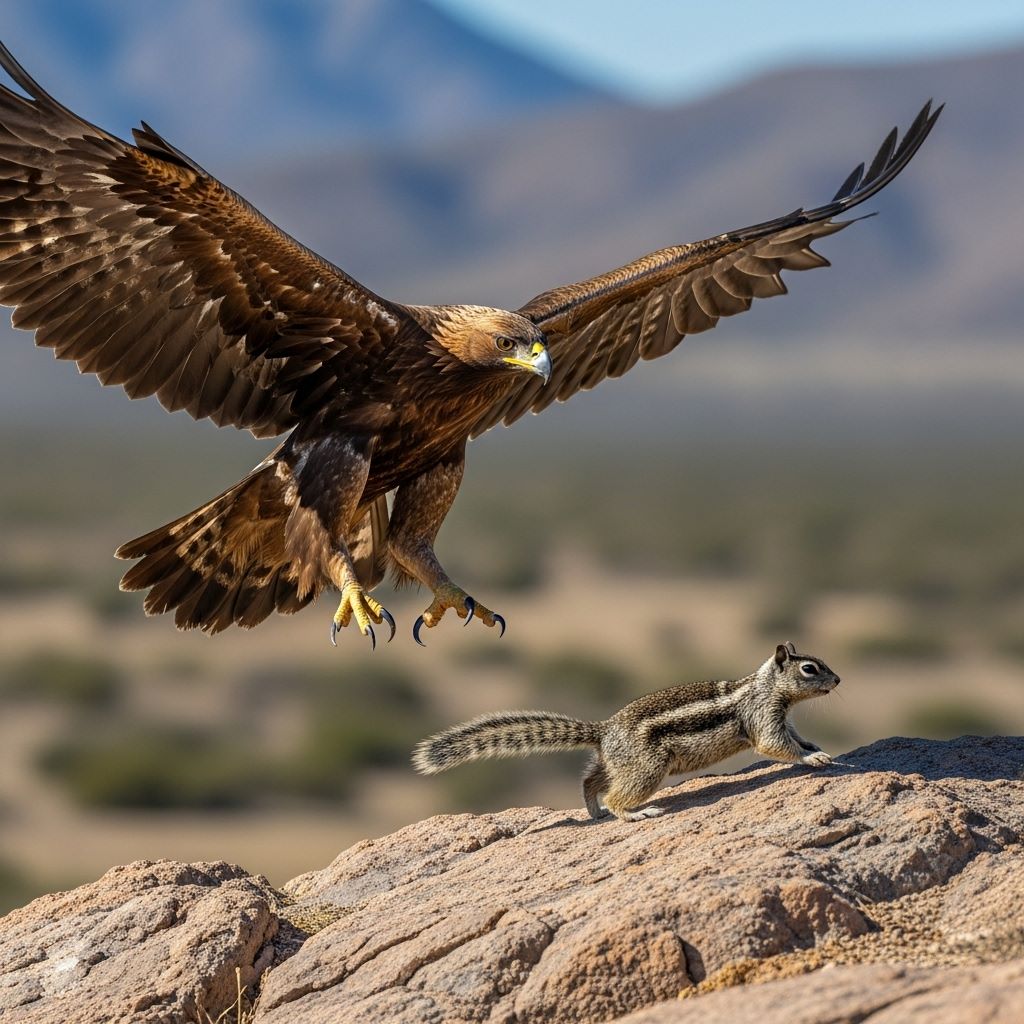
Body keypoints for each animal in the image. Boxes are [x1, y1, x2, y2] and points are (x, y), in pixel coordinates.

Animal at [412, 642, 840, 821]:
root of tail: (603, 729)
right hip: (647, 767)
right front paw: (813, 757)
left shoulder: (782, 717)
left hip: (619, 763)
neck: (766, 686)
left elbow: (793, 737)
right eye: (809, 669)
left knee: (590, 781)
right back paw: (634, 813)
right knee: (618, 795)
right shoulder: (762, 717)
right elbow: (775, 745)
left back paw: (594, 811)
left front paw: (815, 746)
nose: (838, 680)